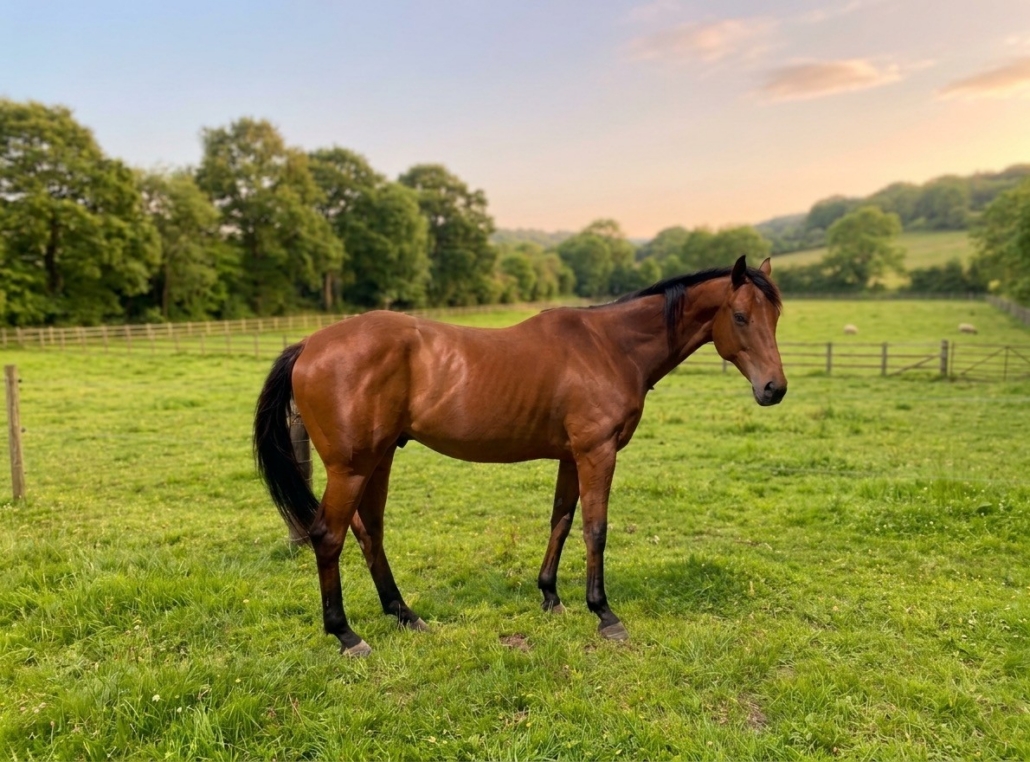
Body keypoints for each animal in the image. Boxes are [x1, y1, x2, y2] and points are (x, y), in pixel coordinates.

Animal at [254, 255, 787, 656]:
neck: (609, 347)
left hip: (378, 459)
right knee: (329, 537)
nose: (774, 389)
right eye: (741, 316)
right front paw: (604, 613)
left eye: (776, 316)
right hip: (351, 467)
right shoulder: (597, 453)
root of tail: (309, 344)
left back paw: (404, 614)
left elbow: (562, 521)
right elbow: (596, 529)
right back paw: (346, 634)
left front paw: (550, 595)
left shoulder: (573, 456)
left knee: (369, 533)